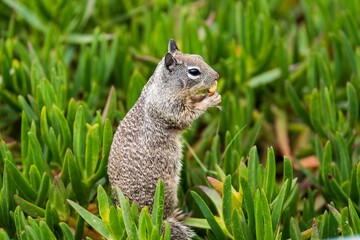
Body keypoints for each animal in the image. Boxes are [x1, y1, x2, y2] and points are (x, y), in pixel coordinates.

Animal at [107, 39, 221, 238]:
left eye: (199, 57)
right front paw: (210, 100)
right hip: (166, 192)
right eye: (194, 72)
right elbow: (186, 117)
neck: (162, 85)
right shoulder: (169, 108)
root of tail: (140, 217)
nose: (217, 76)